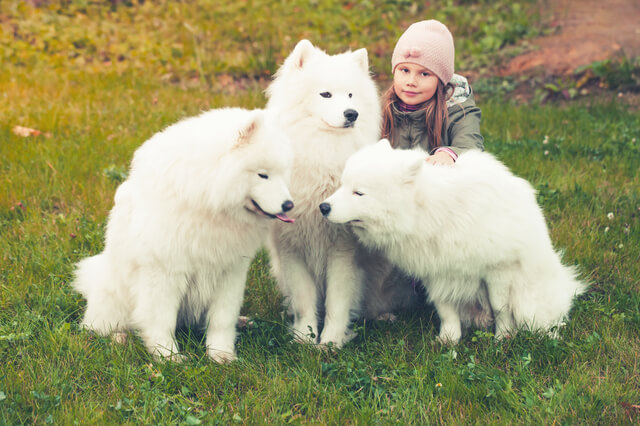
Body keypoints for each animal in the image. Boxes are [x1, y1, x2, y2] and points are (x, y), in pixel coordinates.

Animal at [73, 108, 296, 362]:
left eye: (283, 174)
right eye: (262, 175)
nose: (289, 205)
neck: (209, 205)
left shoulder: (230, 272)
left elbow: (222, 319)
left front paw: (221, 355)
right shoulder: (165, 273)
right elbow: (161, 321)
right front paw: (168, 357)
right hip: (113, 298)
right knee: (101, 326)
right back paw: (119, 337)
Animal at [264, 39, 380, 346]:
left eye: (350, 94)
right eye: (325, 94)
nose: (352, 114)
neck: (323, 151)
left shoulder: (343, 249)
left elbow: (337, 302)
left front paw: (330, 342)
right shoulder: (291, 247)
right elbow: (305, 300)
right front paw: (305, 339)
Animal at [322, 140, 588, 342]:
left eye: (359, 193)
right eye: (342, 185)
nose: (323, 207)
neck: (432, 211)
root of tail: (566, 284)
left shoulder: (498, 269)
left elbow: (500, 307)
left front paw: (503, 337)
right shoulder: (437, 270)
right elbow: (445, 309)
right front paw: (449, 339)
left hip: (529, 304)